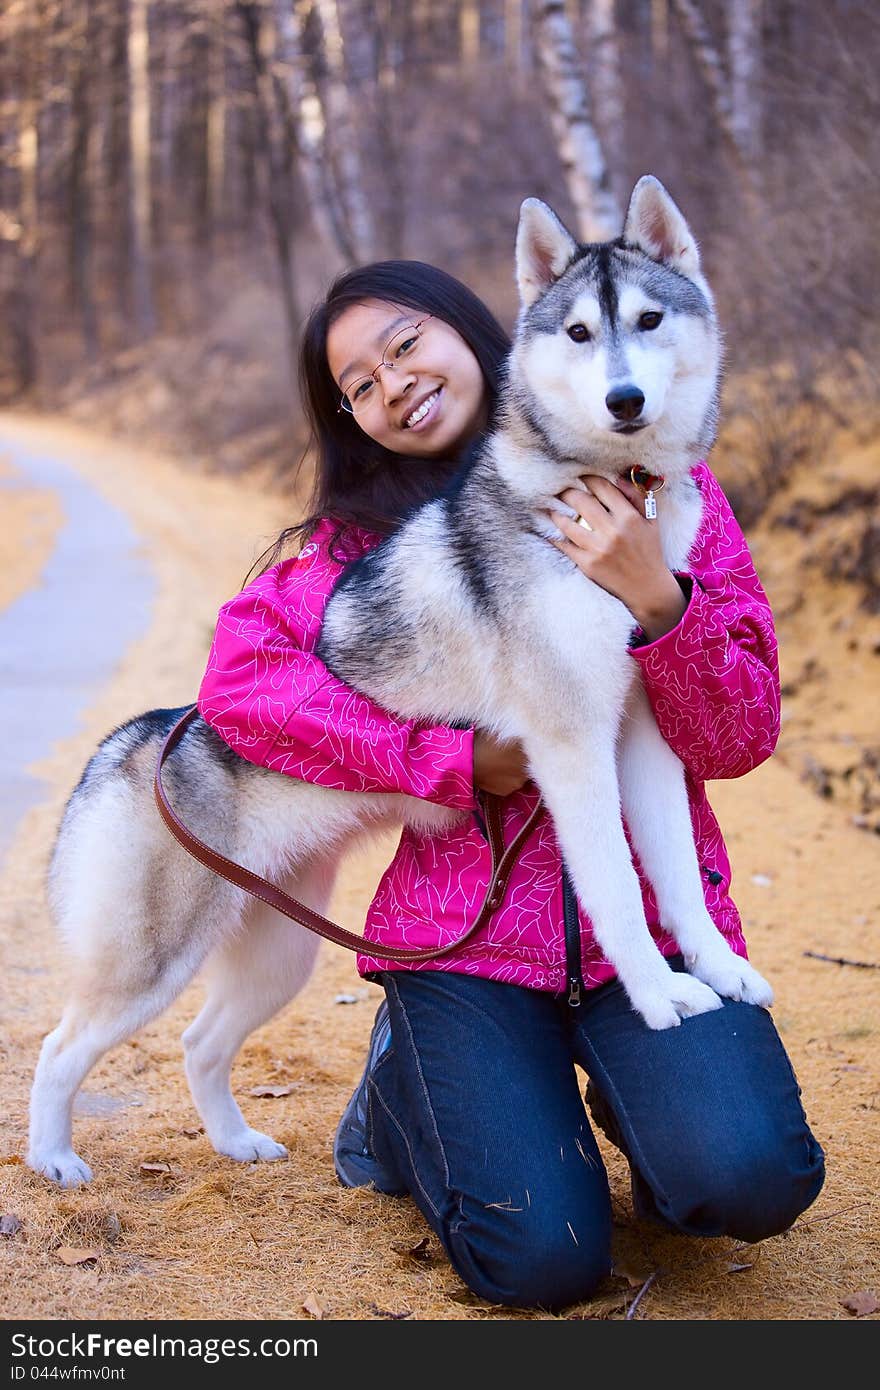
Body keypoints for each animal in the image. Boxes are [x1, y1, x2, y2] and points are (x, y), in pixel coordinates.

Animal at [27, 179, 767, 1189]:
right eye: (579, 332)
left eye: (649, 321)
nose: (625, 398)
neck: (614, 491)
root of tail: (139, 736)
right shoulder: (572, 745)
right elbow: (617, 887)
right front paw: (659, 997)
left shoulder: (643, 735)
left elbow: (678, 877)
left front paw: (715, 971)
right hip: (151, 962)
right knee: (58, 1048)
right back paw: (52, 1157)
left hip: (281, 950)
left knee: (199, 1044)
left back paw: (234, 1140)